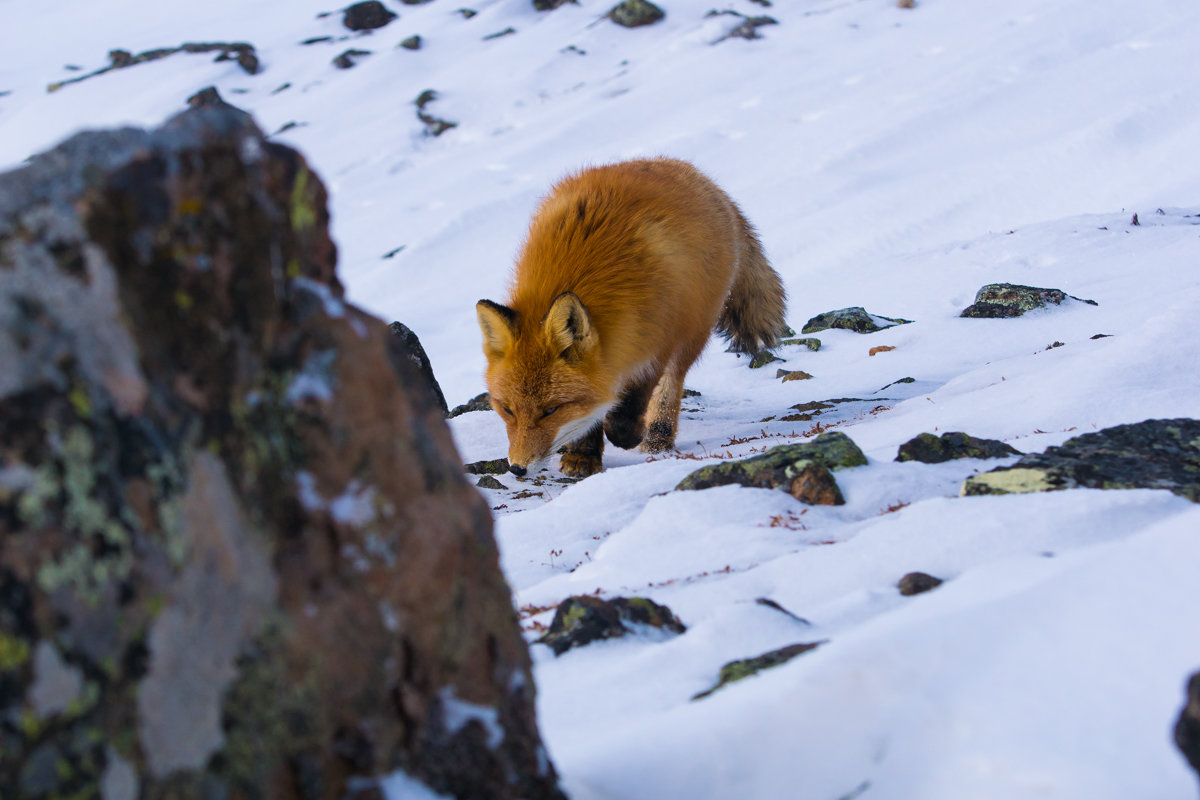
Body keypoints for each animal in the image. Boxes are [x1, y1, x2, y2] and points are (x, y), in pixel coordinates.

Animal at [477, 159, 787, 479]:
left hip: (693, 329)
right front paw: (583, 453)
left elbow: (634, 397)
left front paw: (624, 434)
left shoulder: (656, 335)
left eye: (551, 410)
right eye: (507, 409)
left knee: (671, 386)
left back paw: (658, 436)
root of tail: (694, 173)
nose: (517, 468)